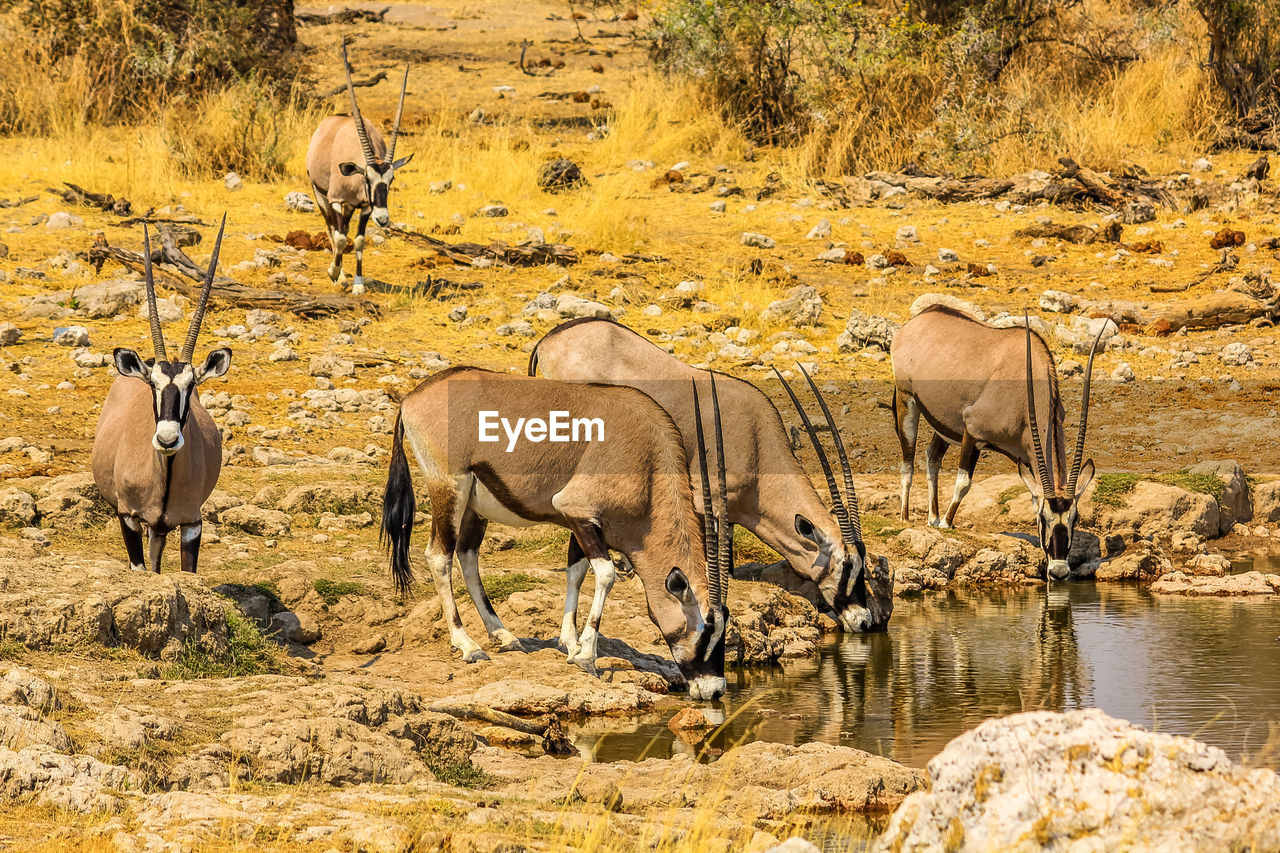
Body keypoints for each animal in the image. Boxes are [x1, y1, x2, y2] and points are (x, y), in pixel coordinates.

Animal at [92, 219, 232, 573]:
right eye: (153, 385)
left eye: (192, 386)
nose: (167, 440)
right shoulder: (128, 517)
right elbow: (140, 569)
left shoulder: (192, 523)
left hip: (160, 528)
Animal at [304, 43, 409, 295]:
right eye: (367, 180)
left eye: (390, 181)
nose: (383, 218)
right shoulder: (335, 199)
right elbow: (340, 238)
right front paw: (334, 273)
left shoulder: (365, 207)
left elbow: (359, 240)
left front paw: (359, 284)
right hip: (320, 194)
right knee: (333, 229)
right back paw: (339, 274)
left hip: (350, 206)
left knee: (342, 229)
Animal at [378, 366, 732, 696]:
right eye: (705, 632)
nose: (715, 690)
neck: (649, 466)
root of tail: (413, 397)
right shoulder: (578, 511)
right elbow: (606, 575)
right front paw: (586, 656)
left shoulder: (582, 523)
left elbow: (576, 573)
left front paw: (571, 643)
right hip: (450, 488)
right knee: (440, 556)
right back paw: (468, 645)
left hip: (473, 506)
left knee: (467, 557)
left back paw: (503, 635)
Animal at [885, 303, 1105, 578]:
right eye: (1043, 517)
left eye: (1075, 518)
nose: (1059, 571)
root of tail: (922, 317)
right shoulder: (973, 431)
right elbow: (964, 483)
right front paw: (947, 523)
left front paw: (941, 522)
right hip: (907, 401)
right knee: (908, 463)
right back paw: (906, 517)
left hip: (945, 423)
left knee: (932, 457)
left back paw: (932, 518)